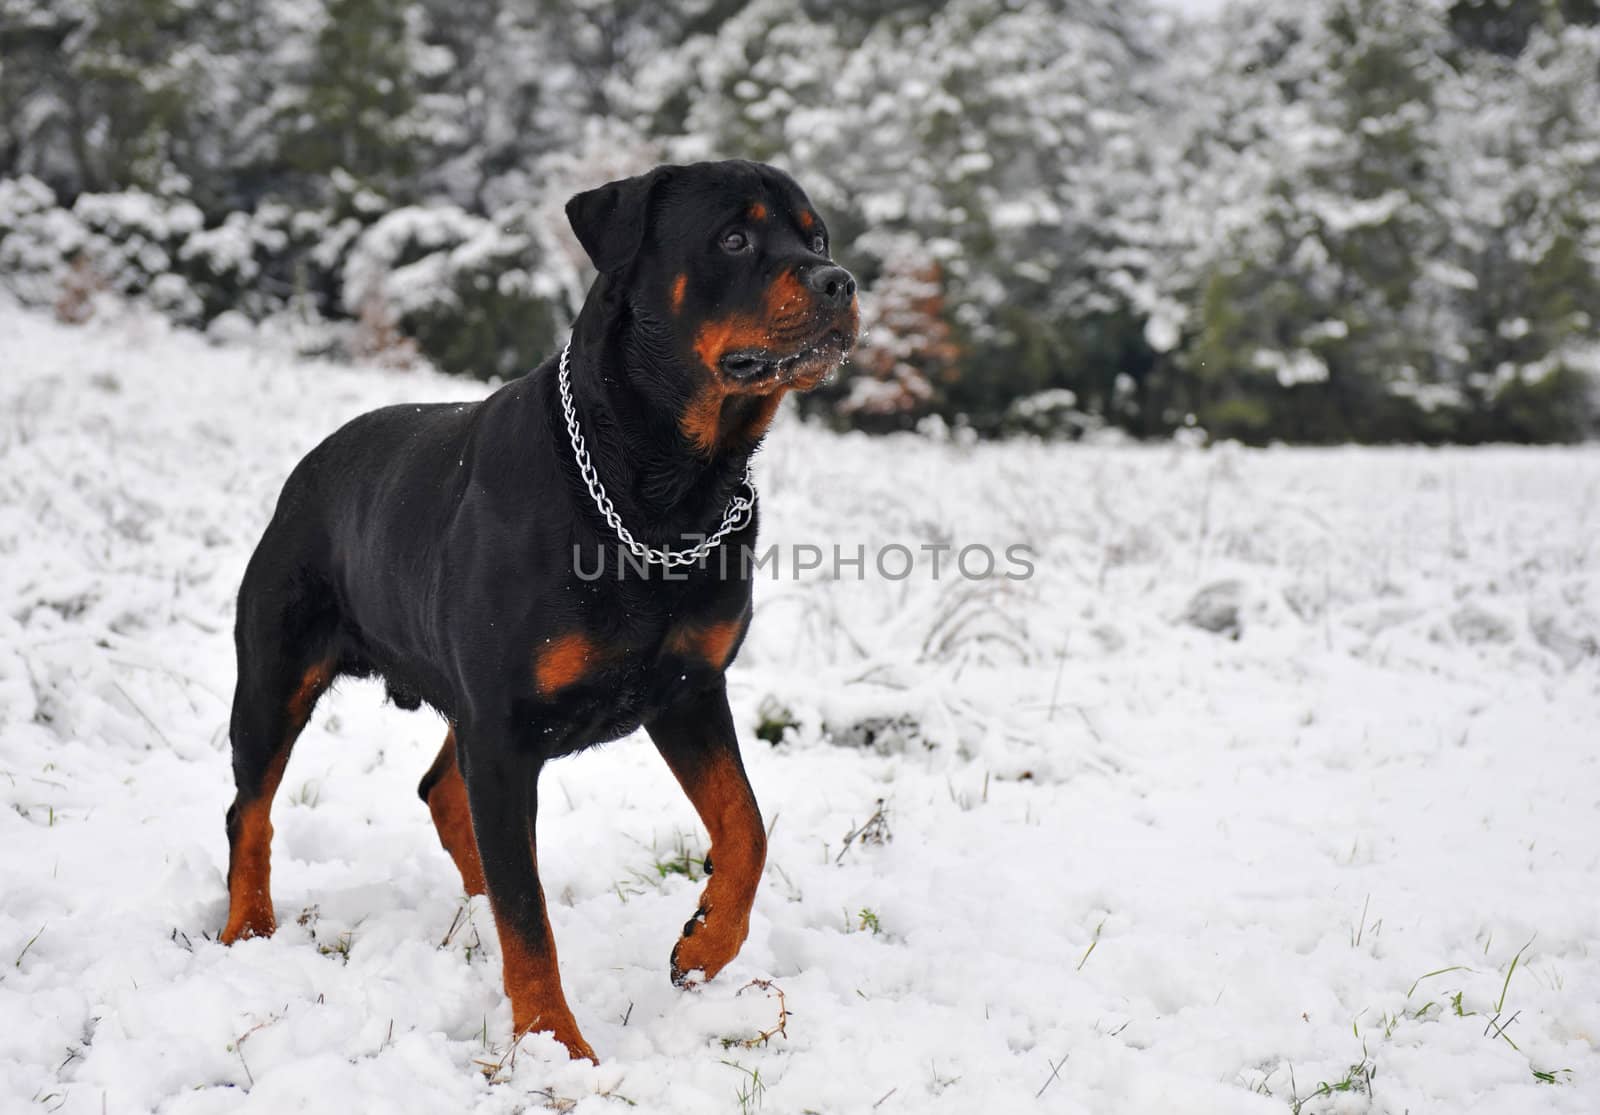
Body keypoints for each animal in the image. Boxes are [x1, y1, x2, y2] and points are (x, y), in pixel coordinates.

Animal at [222, 160, 864, 1055]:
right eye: (735, 237)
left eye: (817, 236)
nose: (839, 281)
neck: (664, 492)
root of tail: (308, 466)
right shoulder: (503, 727)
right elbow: (530, 919)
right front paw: (556, 1046)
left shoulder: (688, 689)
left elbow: (747, 825)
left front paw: (706, 942)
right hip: (276, 672)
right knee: (250, 809)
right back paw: (247, 927)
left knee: (441, 794)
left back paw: (470, 907)